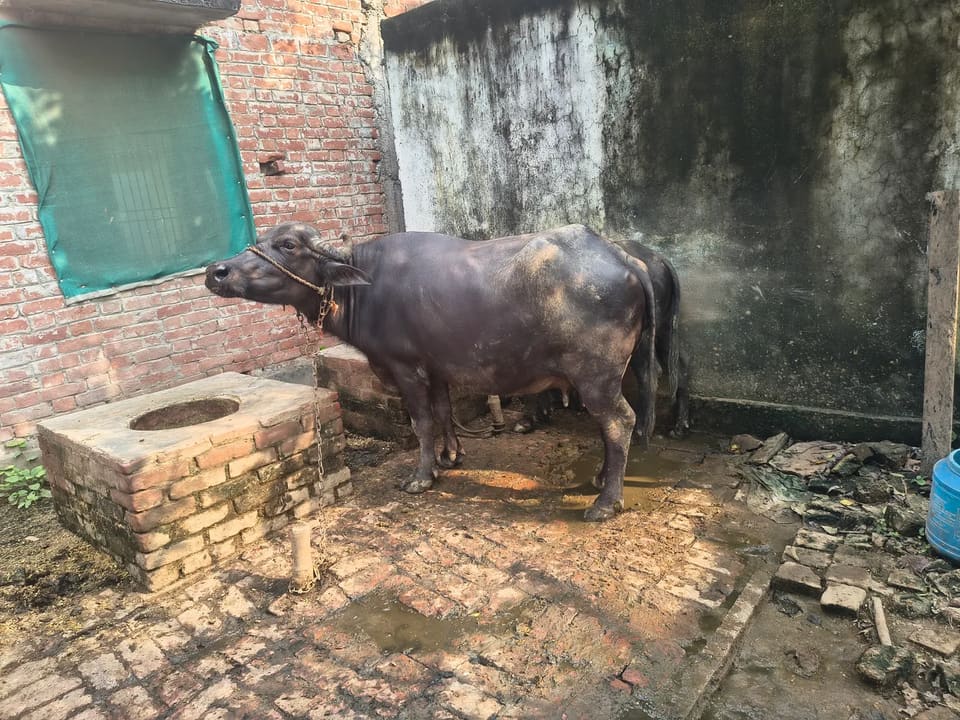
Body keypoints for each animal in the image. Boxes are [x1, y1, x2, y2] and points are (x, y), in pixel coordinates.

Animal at [206, 222, 657, 521]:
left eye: (287, 245)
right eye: (259, 241)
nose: (216, 271)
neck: (364, 289)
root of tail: (623, 258)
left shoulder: (406, 369)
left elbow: (421, 422)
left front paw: (422, 476)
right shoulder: (436, 368)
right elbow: (443, 412)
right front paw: (451, 456)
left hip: (595, 374)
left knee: (619, 421)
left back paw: (606, 502)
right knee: (610, 424)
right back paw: (600, 479)